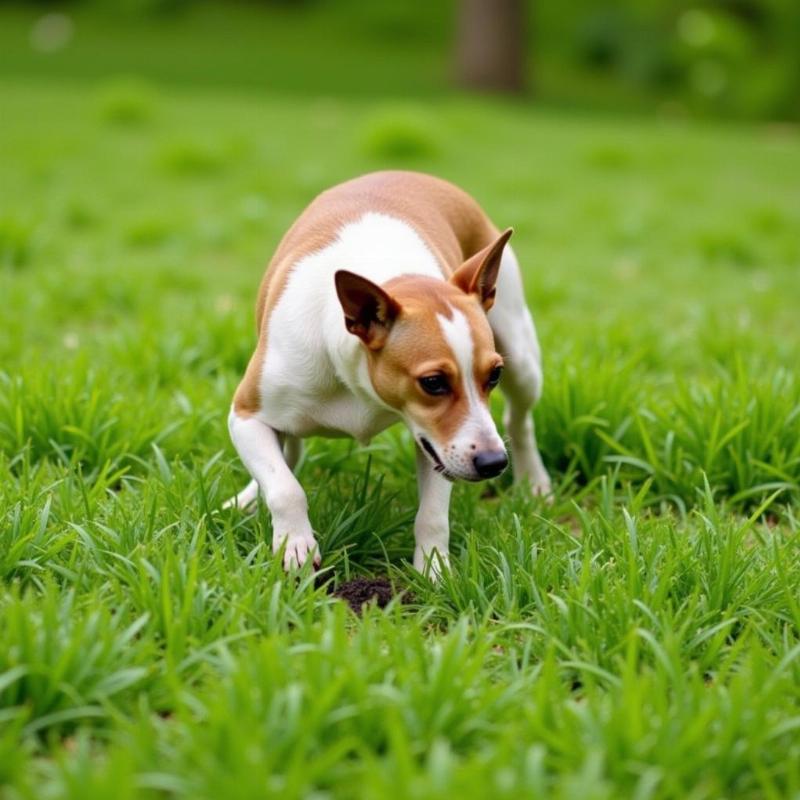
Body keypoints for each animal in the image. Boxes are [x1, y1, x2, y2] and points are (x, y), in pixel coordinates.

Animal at [225, 170, 552, 576]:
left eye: (493, 376)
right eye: (433, 382)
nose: (494, 462)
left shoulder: (437, 444)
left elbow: (433, 514)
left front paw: (433, 568)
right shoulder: (245, 416)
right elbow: (285, 488)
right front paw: (295, 542)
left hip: (521, 360)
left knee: (519, 421)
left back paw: (534, 481)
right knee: (288, 449)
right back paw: (251, 496)